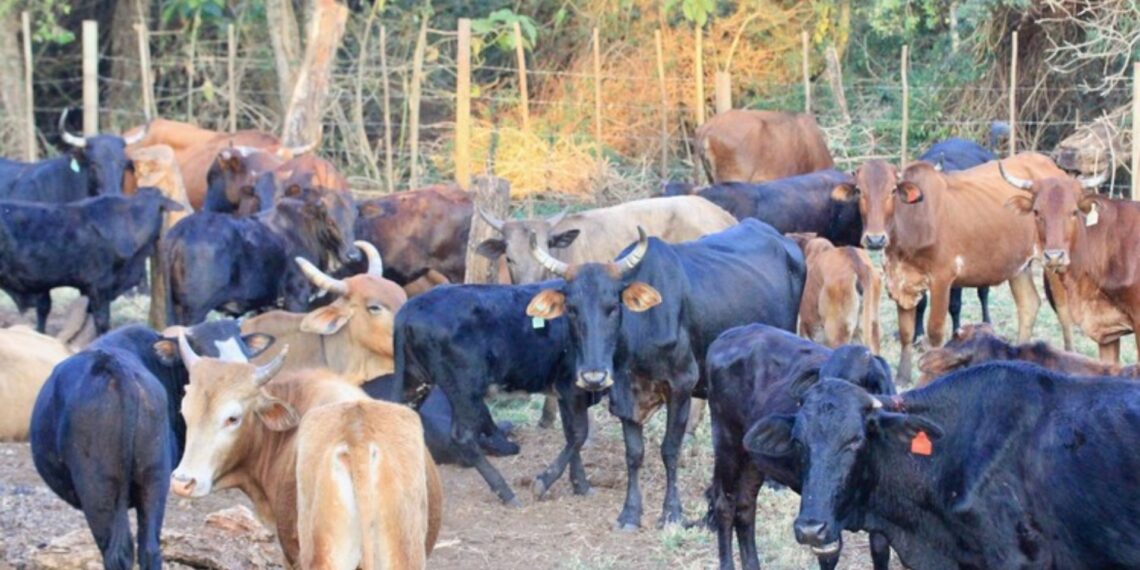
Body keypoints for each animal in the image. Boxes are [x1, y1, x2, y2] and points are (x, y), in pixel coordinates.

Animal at [163, 189, 359, 326]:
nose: (353, 255)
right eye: (330, 221)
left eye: (353, 219)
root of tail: (181, 230)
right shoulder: (297, 296)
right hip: (194, 311)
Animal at [525, 219, 805, 528]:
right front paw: (630, 513)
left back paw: (774, 483)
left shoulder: (681, 385)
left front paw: (672, 511)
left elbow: (669, 449)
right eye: (572, 310)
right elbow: (634, 453)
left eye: (613, 307)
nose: (593, 377)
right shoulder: (624, 396)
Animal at [704, 324, 894, 570]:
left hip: (752, 459)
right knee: (725, 505)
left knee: (745, 507)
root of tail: (728, 335)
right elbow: (829, 555)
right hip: (726, 442)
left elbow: (880, 550)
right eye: (820, 380)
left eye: (854, 384)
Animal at [831, 153, 1068, 381]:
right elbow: (906, 332)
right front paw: (902, 377)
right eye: (859, 190)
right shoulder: (901, 280)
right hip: (1019, 267)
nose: (875, 239)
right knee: (1029, 304)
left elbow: (935, 332)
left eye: (893, 190)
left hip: (1056, 260)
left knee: (1063, 310)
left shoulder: (942, 279)